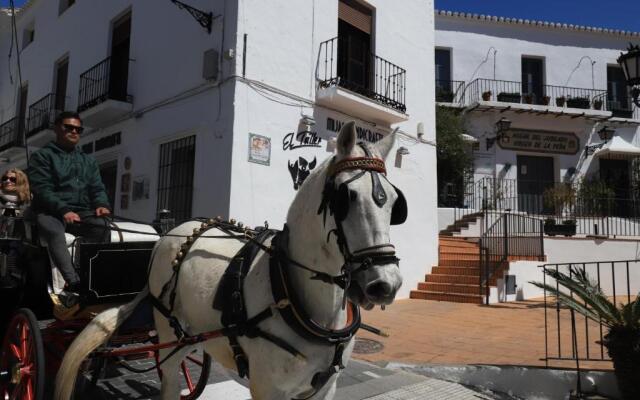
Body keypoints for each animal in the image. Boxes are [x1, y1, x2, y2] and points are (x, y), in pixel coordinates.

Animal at [53, 122, 404, 400]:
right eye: (347, 197)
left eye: (395, 202)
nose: (385, 284)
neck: (290, 292)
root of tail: (170, 232)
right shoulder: (267, 389)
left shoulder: (325, 388)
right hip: (167, 334)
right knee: (169, 382)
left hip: (191, 335)